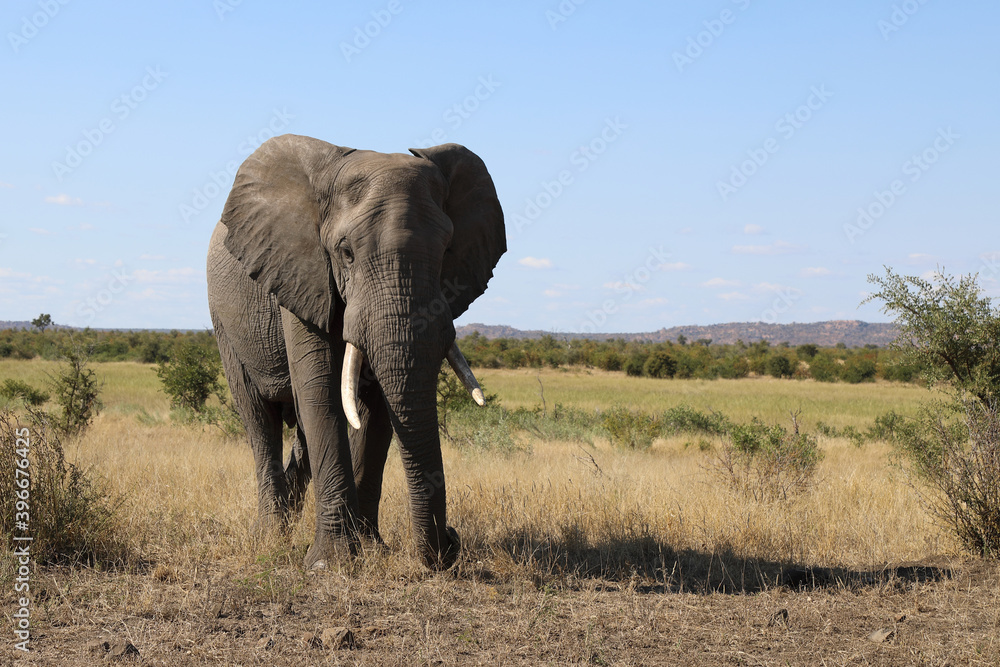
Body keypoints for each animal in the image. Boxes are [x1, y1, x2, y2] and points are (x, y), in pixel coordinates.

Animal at [206, 134, 505, 569]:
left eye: (448, 250)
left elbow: (378, 410)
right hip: (226, 326)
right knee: (259, 418)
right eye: (345, 253)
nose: (452, 541)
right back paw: (271, 538)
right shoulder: (301, 271)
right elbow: (321, 395)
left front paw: (370, 549)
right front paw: (330, 563)